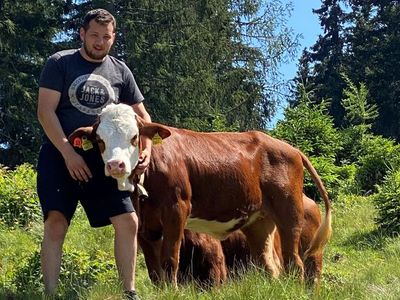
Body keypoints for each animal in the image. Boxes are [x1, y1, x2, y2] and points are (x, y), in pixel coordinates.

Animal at [68, 103, 332, 286]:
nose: (115, 165)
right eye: (99, 140)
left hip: (289, 215)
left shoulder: (176, 210)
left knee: (295, 263)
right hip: (258, 222)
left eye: (134, 137)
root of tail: (290, 148)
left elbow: (170, 261)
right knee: (272, 267)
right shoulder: (143, 225)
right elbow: (154, 271)